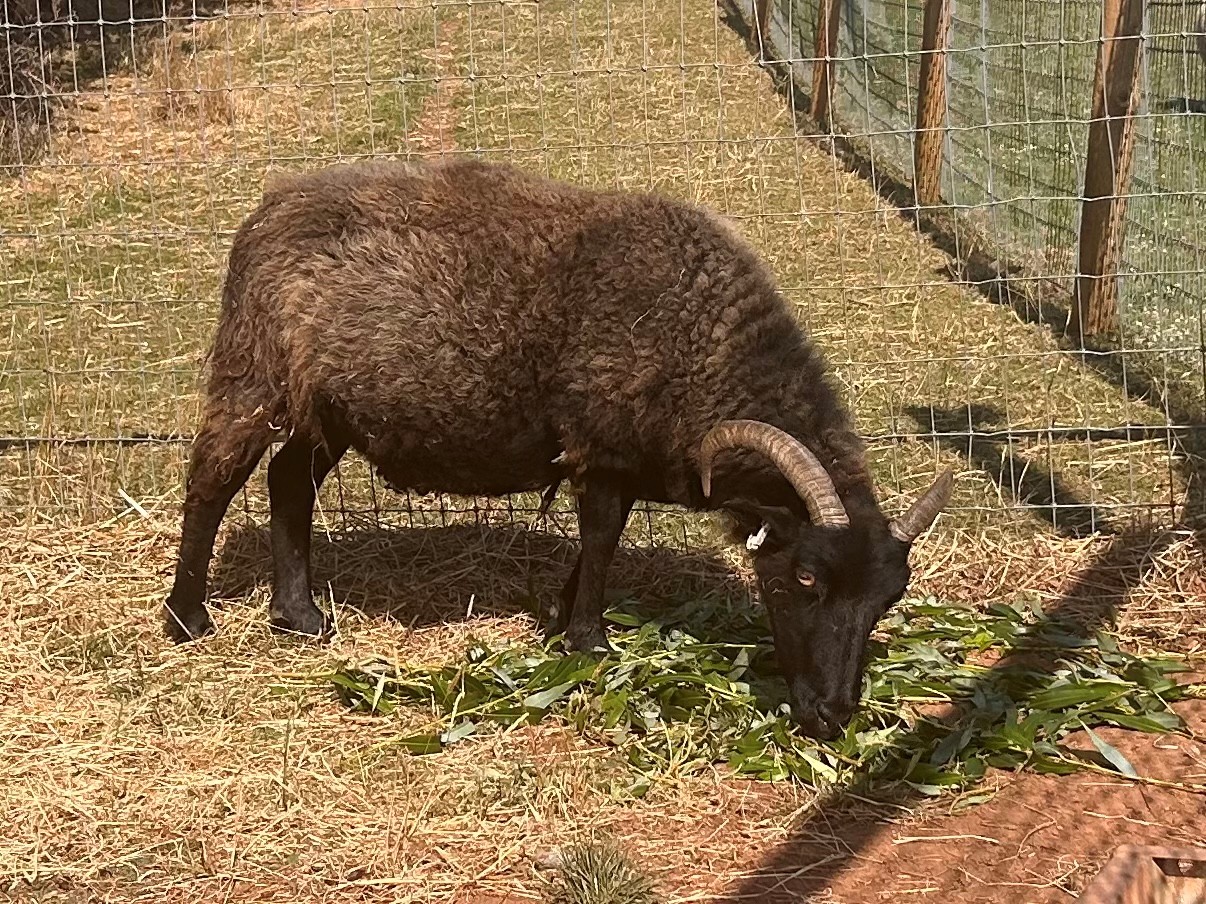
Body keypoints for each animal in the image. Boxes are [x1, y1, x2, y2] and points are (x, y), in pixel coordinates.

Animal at [163, 157, 953, 739]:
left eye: (888, 599)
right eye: (805, 578)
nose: (833, 716)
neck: (703, 348)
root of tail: (267, 210)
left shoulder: (622, 459)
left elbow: (599, 542)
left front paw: (562, 617)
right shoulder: (599, 447)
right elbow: (601, 539)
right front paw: (588, 642)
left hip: (330, 409)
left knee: (289, 481)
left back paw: (299, 617)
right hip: (255, 372)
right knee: (212, 480)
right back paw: (186, 619)